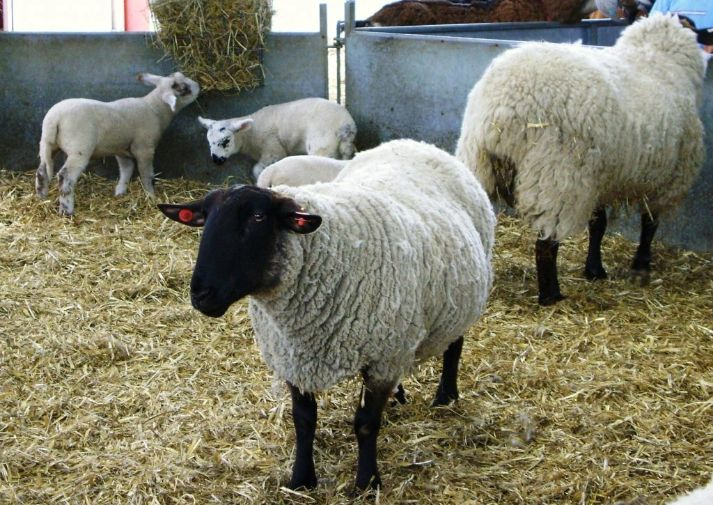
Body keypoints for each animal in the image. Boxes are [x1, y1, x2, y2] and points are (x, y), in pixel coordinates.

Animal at [35, 72, 199, 216]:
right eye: (183, 89)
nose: (198, 86)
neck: (155, 109)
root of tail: (55, 118)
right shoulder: (144, 148)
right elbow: (146, 174)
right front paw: (151, 196)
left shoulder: (122, 150)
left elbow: (126, 170)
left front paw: (120, 192)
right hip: (79, 150)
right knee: (65, 177)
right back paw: (66, 210)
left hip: (47, 144)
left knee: (41, 171)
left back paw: (41, 197)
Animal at [158, 139, 495, 492]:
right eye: (205, 219)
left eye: (258, 217)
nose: (200, 294)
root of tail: (417, 144)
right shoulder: (295, 356)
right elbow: (304, 421)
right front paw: (302, 479)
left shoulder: (382, 360)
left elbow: (366, 424)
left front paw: (367, 482)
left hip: (462, 295)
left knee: (455, 343)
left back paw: (446, 395)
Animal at [197, 97, 357, 180]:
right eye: (209, 142)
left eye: (226, 140)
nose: (216, 160)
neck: (250, 135)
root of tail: (345, 126)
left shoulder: (274, 151)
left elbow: (257, 170)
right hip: (344, 148)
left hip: (321, 145)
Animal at [455, 13, 707, 306]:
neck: (660, 58)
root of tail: (502, 109)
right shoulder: (667, 179)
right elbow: (649, 225)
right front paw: (640, 267)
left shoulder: (600, 178)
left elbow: (599, 225)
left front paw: (594, 270)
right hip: (557, 177)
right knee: (545, 245)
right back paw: (551, 296)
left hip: (479, 164)